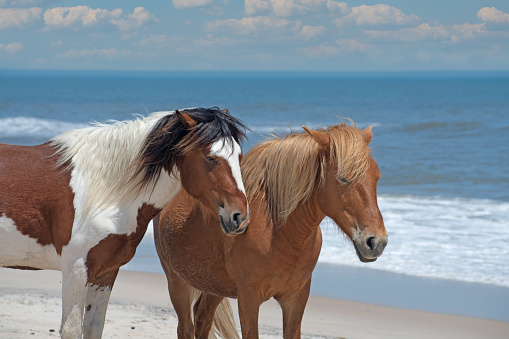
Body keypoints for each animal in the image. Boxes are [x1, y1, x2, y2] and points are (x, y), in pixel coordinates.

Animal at [0, 108, 249, 339]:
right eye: (210, 157)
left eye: (239, 156)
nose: (240, 217)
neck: (104, 189)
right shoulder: (75, 270)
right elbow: (72, 330)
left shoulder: (105, 274)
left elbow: (93, 328)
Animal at [153, 123, 386, 339]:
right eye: (343, 178)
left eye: (377, 176)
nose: (377, 242)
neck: (280, 233)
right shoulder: (248, 299)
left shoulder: (295, 299)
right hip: (177, 282)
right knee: (185, 327)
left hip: (214, 287)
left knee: (202, 319)